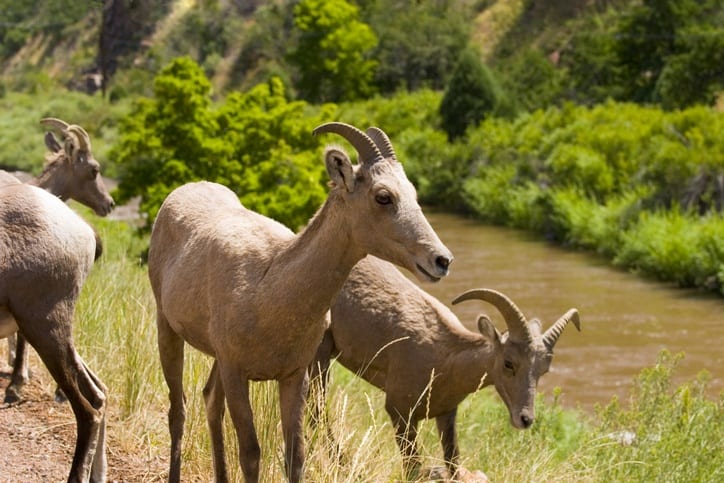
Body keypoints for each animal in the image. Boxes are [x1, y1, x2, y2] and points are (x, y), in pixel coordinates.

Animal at [148, 123, 452, 482]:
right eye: (383, 196)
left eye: (413, 193)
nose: (441, 260)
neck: (269, 292)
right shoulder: (237, 372)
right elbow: (251, 453)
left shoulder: (293, 375)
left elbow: (295, 454)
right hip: (167, 326)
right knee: (178, 409)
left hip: (216, 360)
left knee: (210, 400)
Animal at [308, 258, 580, 480]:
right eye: (508, 363)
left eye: (543, 370)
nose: (525, 419)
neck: (445, 361)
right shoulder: (400, 412)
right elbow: (412, 468)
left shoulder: (446, 415)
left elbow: (452, 462)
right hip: (320, 354)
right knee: (317, 411)